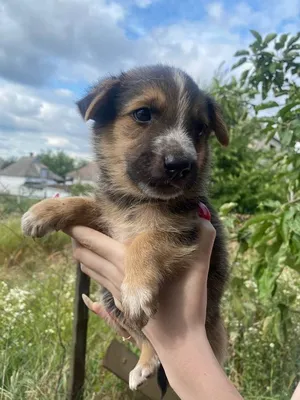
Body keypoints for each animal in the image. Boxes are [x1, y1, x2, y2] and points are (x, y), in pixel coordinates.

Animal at [21, 65, 230, 394]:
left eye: (199, 129)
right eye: (143, 114)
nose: (181, 165)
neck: (138, 201)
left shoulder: (184, 230)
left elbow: (147, 239)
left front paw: (135, 290)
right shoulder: (109, 218)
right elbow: (86, 203)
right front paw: (44, 212)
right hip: (109, 298)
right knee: (146, 339)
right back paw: (143, 364)